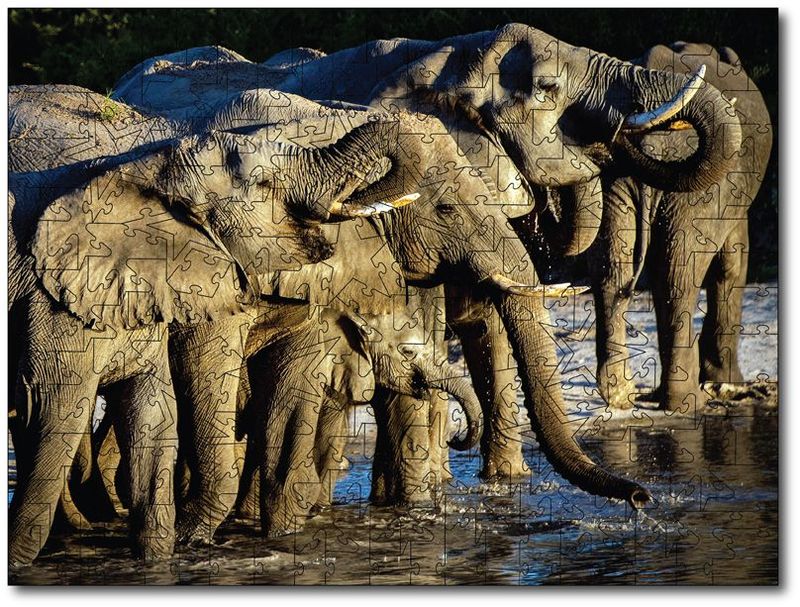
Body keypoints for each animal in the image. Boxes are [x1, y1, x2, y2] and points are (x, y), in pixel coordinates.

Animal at [7, 87, 414, 565]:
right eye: (265, 185)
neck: (146, 171)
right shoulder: (57, 303)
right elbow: (57, 409)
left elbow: (156, 413)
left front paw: (168, 556)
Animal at [113, 23, 742, 481]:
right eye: (546, 89)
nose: (639, 500)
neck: (448, 53)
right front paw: (427, 497)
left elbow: (490, 324)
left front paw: (502, 485)